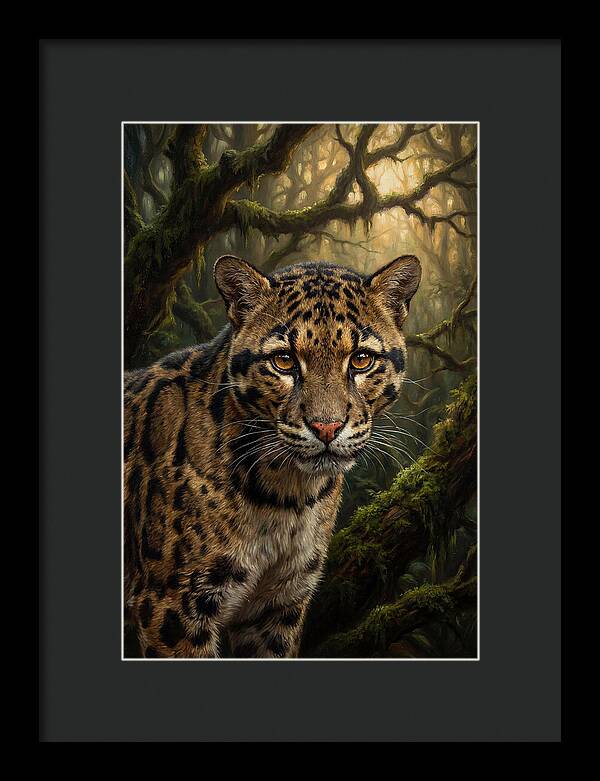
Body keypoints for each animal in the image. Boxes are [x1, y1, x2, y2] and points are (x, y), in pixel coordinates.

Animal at [123, 254, 421, 658]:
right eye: (283, 361)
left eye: (361, 360)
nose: (326, 427)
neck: (286, 495)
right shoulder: (171, 604)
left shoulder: (279, 605)